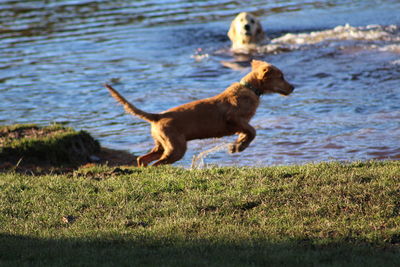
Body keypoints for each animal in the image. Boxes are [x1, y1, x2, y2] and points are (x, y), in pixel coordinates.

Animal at [105, 59, 294, 166]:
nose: (293, 87)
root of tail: (157, 116)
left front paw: (238, 144)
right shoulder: (234, 119)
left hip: (162, 144)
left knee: (142, 159)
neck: (250, 89)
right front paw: (239, 146)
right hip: (176, 148)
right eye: (281, 77)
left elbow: (249, 132)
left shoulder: (240, 124)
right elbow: (253, 131)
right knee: (156, 164)